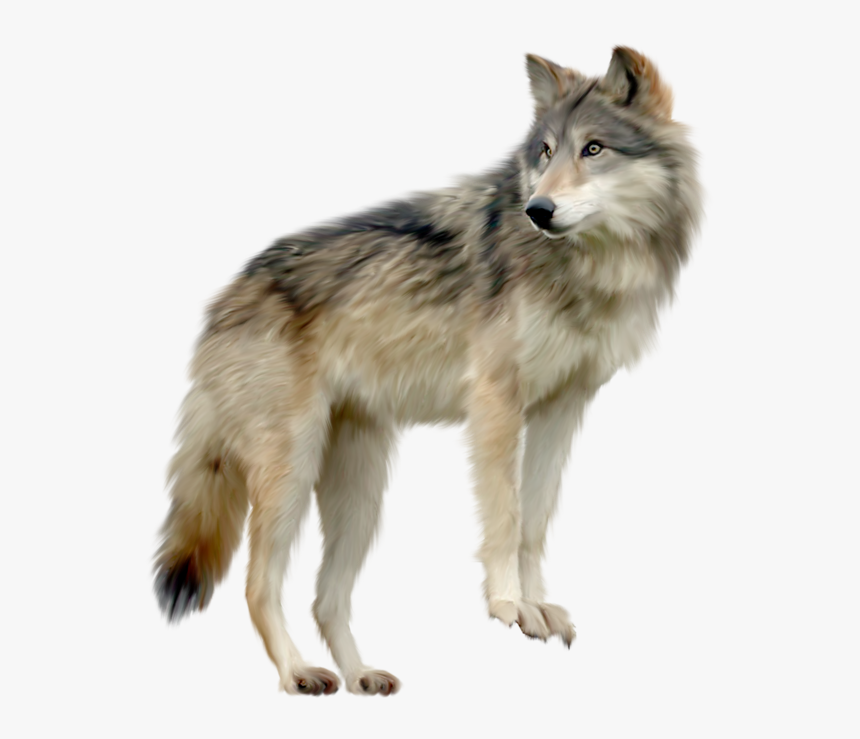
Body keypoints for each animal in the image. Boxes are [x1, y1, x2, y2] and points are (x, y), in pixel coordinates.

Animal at [154, 47, 701, 696]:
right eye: (545, 152)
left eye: (593, 148)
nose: (538, 210)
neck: (590, 267)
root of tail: (226, 297)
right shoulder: (496, 401)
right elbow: (505, 515)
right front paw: (509, 605)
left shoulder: (561, 408)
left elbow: (533, 521)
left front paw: (538, 606)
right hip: (291, 471)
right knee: (258, 584)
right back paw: (298, 674)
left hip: (361, 493)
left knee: (325, 599)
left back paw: (361, 676)